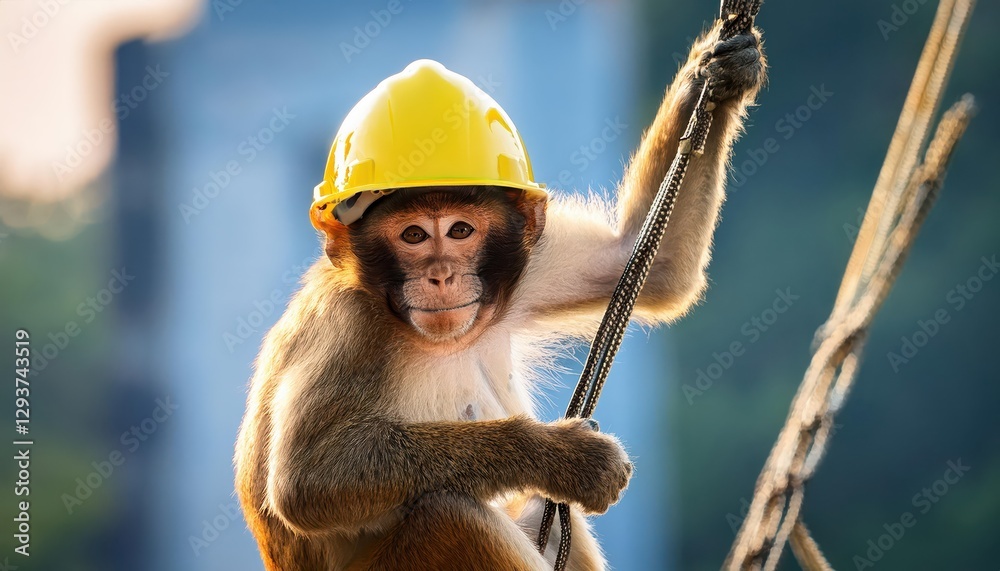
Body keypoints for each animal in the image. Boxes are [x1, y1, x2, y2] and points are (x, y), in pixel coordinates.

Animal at [235, 21, 765, 571]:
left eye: (460, 230)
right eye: (413, 236)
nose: (441, 275)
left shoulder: (520, 270)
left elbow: (649, 266)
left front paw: (718, 73)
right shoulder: (346, 323)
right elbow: (307, 481)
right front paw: (560, 456)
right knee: (450, 514)